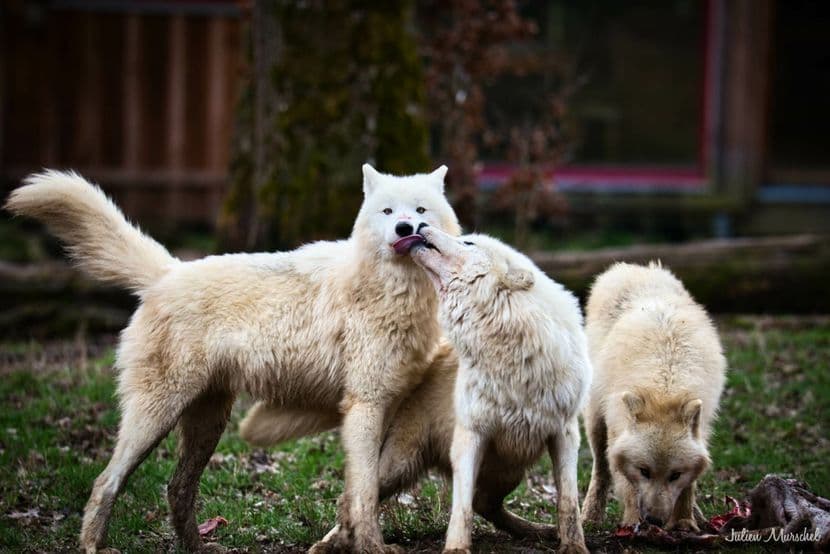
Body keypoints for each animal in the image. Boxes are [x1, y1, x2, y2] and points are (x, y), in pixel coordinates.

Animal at [5, 164, 459, 553]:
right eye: (388, 211)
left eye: (421, 210)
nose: (406, 227)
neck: (394, 290)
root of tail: (168, 272)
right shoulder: (364, 406)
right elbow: (364, 492)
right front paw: (371, 546)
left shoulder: (387, 407)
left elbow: (361, 491)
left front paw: (340, 541)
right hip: (155, 418)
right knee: (106, 481)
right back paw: (93, 545)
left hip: (207, 423)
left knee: (177, 488)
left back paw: (197, 547)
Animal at [581, 262, 726, 531]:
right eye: (644, 471)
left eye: (675, 475)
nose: (654, 521)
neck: (665, 388)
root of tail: (629, 268)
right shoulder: (617, 429)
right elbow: (626, 485)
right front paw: (631, 522)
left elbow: (688, 486)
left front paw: (685, 521)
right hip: (595, 420)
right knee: (601, 469)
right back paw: (590, 515)